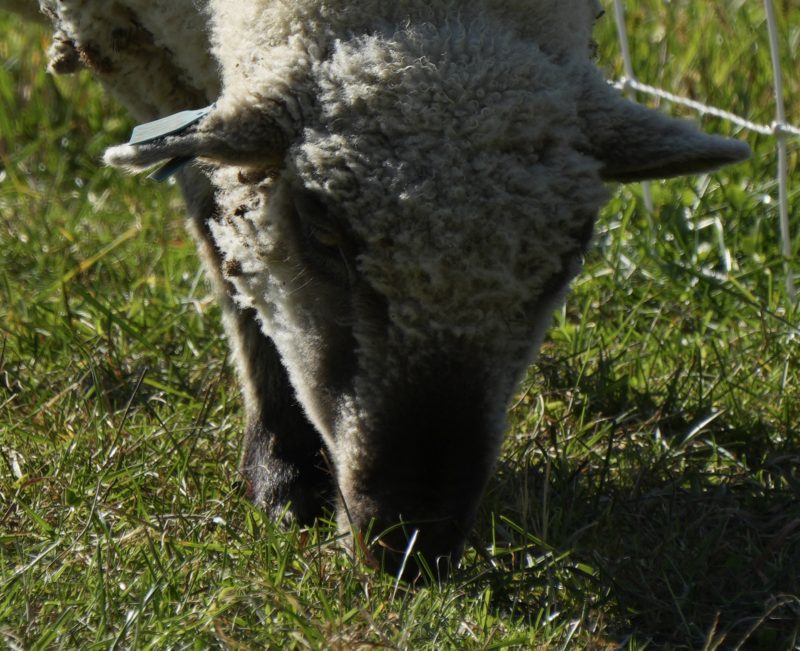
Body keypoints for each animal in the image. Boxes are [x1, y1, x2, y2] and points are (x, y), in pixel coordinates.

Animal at [8, 0, 750, 579]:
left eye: (571, 252)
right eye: (322, 231)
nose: (414, 542)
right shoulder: (148, 57)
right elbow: (224, 242)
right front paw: (282, 475)